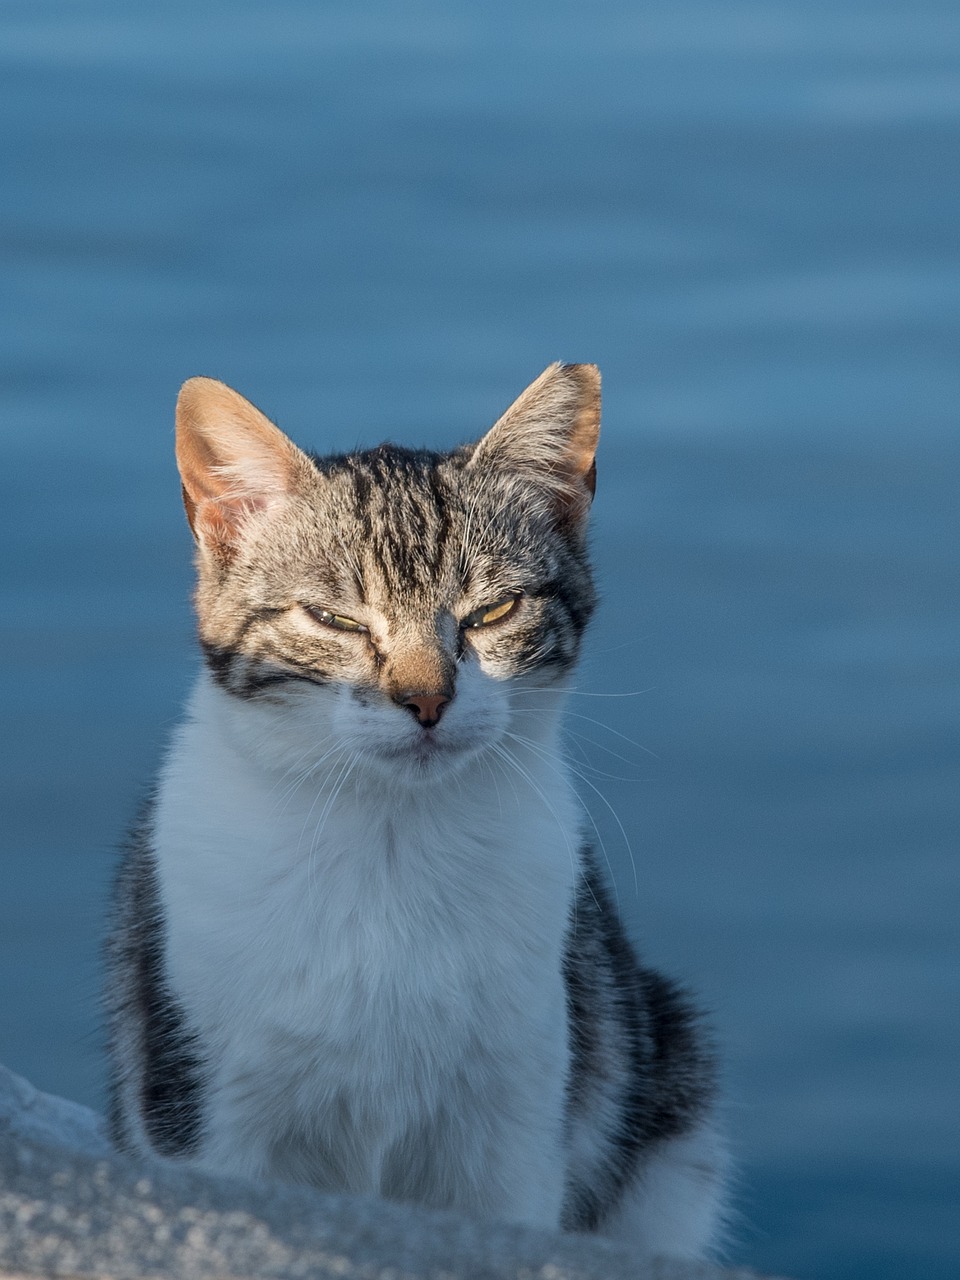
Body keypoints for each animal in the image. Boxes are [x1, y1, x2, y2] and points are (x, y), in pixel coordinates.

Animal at [104, 363, 727, 1259]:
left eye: (492, 613)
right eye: (331, 618)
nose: (426, 700)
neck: (391, 834)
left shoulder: (514, 1131)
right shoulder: (206, 1113)